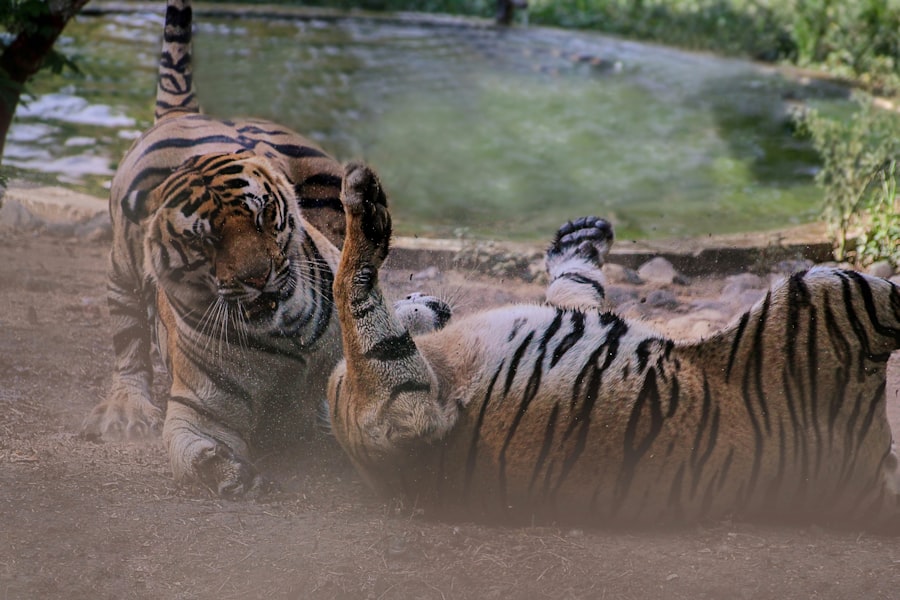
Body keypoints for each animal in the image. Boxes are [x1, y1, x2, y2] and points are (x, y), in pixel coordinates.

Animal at [83, 0, 349, 496]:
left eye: (264, 217)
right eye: (204, 239)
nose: (258, 277)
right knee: (128, 339)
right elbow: (196, 455)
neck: (285, 337)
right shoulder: (197, 410)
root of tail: (182, 113)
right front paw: (232, 474)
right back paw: (127, 411)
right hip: (122, 268)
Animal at [327, 162, 900, 530]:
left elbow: (574, 283)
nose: (419, 295)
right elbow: (349, 290)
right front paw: (363, 204)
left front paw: (581, 236)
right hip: (827, 290)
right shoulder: (396, 415)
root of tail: (865, 484)